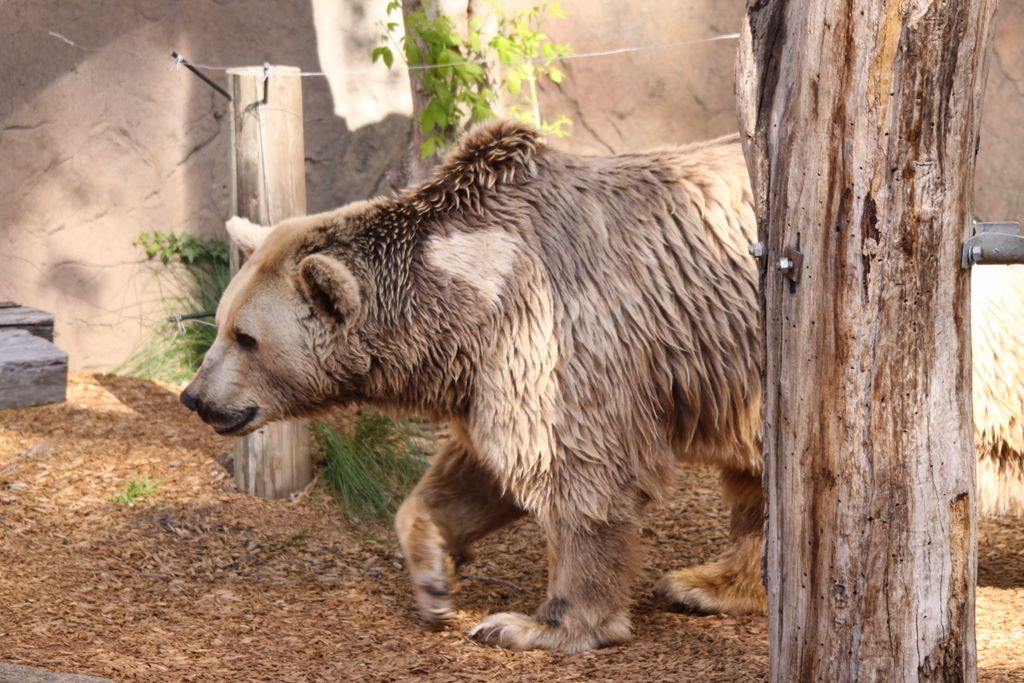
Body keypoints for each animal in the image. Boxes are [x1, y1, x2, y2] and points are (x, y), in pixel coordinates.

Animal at [181, 119, 1023, 653]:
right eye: (221, 323)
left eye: (246, 337)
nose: (196, 396)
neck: (459, 300)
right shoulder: (488, 373)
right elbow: (474, 472)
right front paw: (434, 579)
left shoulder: (556, 333)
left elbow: (575, 474)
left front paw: (537, 622)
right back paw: (707, 582)